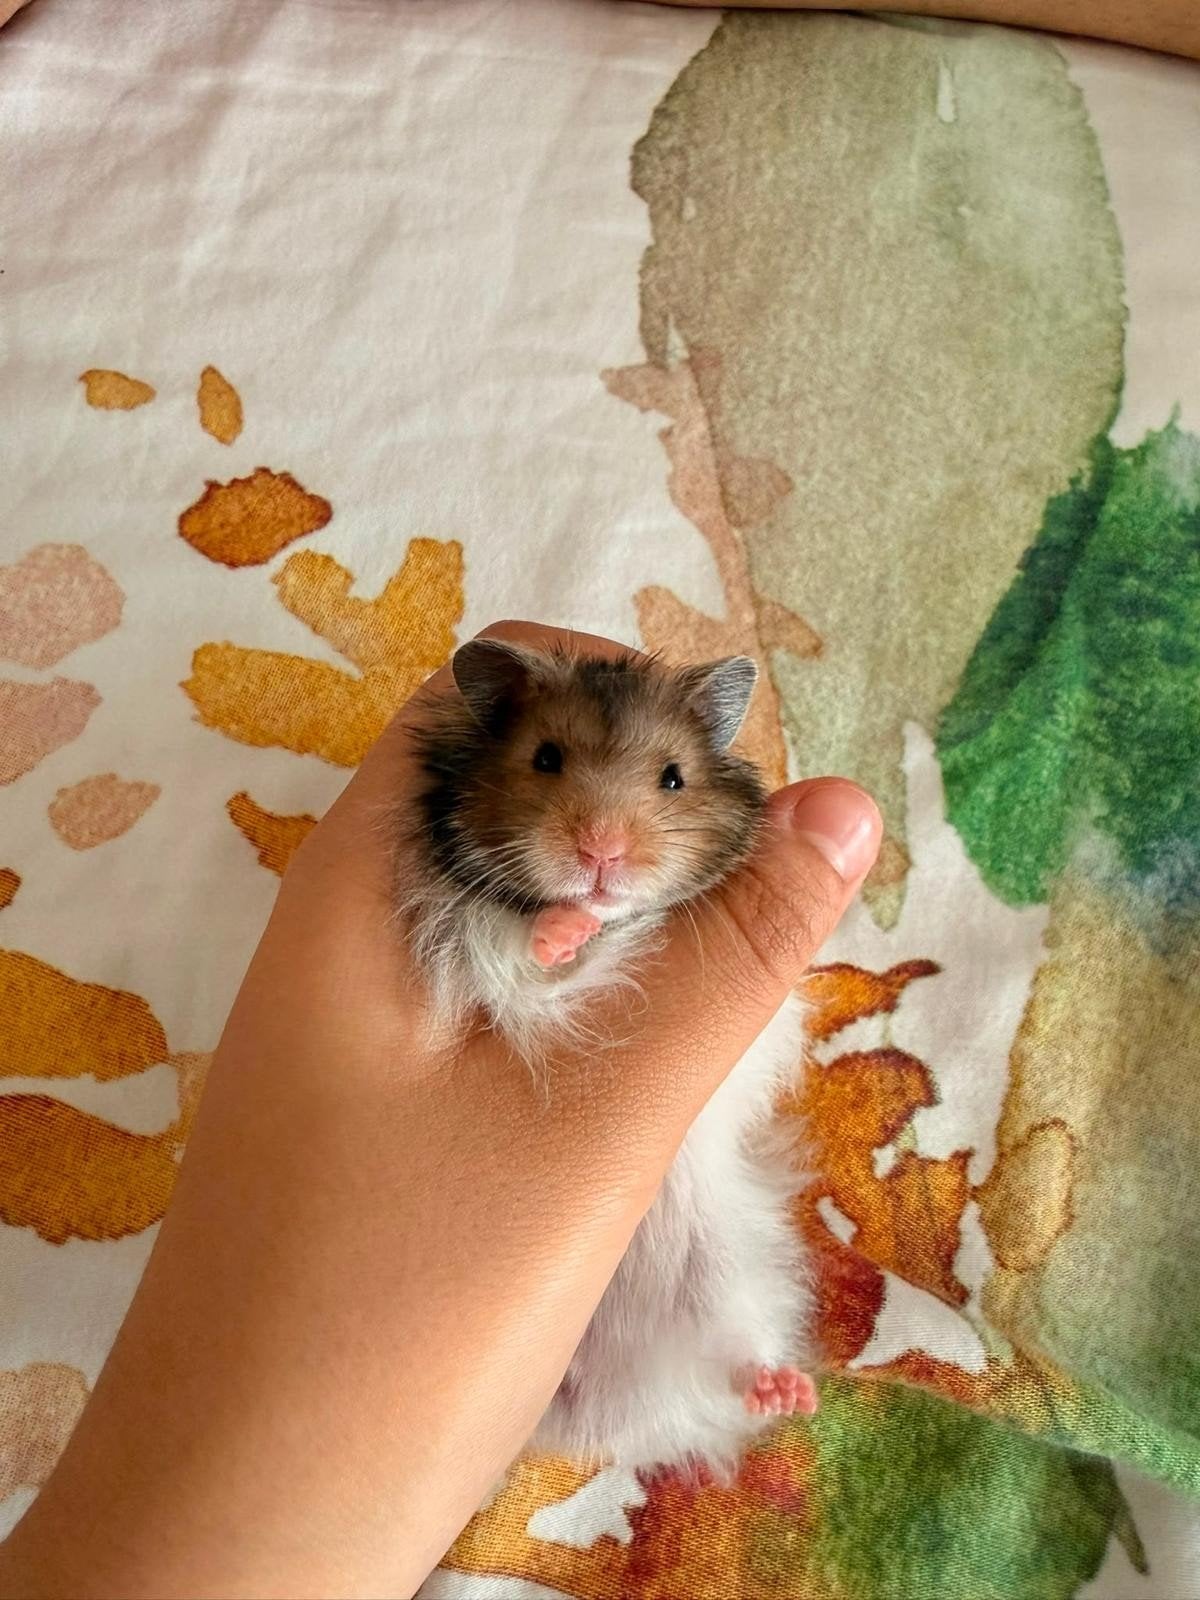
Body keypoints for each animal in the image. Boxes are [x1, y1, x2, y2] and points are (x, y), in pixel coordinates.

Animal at [401, 640, 816, 1474]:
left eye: (673, 777)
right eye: (545, 758)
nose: (601, 853)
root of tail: (615, 1411)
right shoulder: (490, 964)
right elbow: (538, 958)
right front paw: (567, 927)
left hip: (729, 1272)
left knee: (738, 1356)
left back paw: (788, 1392)